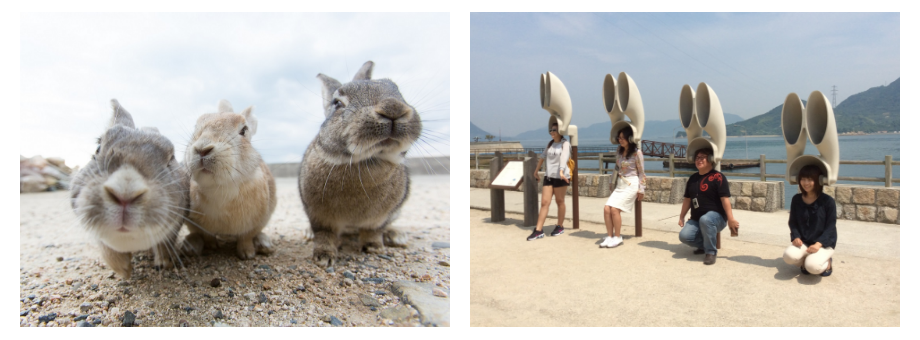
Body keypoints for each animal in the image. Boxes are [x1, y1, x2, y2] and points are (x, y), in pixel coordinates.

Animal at [71, 99, 191, 280]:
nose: (124, 194)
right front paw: (123, 270)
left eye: (171, 159)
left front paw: (164, 264)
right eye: (98, 147)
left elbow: (165, 244)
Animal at [184, 99, 276, 258]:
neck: (221, 188)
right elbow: (207, 235)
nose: (202, 149)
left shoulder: (255, 222)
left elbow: (246, 237)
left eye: (244, 130)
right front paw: (212, 247)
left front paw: (247, 254)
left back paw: (264, 244)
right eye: (196, 126)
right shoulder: (198, 224)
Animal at [298, 61, 420, 268]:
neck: (365, 161)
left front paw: (374, 248)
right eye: (337, 103)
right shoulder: (319, 216)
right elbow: (325, 234)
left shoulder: (379, 218)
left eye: (397, 90)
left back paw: (396, 235)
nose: (393, 108)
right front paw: (323, 257)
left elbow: (373, 231)